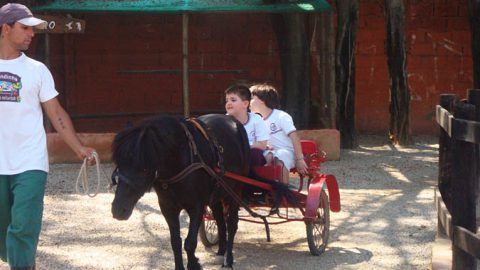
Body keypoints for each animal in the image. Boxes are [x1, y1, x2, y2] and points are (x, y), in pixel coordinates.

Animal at [111, 114, 294, 270]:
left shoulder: (197, 205)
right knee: (220, 220)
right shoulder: (168, 207)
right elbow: (175, 242)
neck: (180, 160)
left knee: (231, 223)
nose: (118, 210)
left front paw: (194, 264)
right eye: (119, 163)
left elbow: (190, 242)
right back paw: (220, 251)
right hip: (217, 193)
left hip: (235, 190)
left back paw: (228, 260)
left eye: (143, 168)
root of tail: (234, 122)